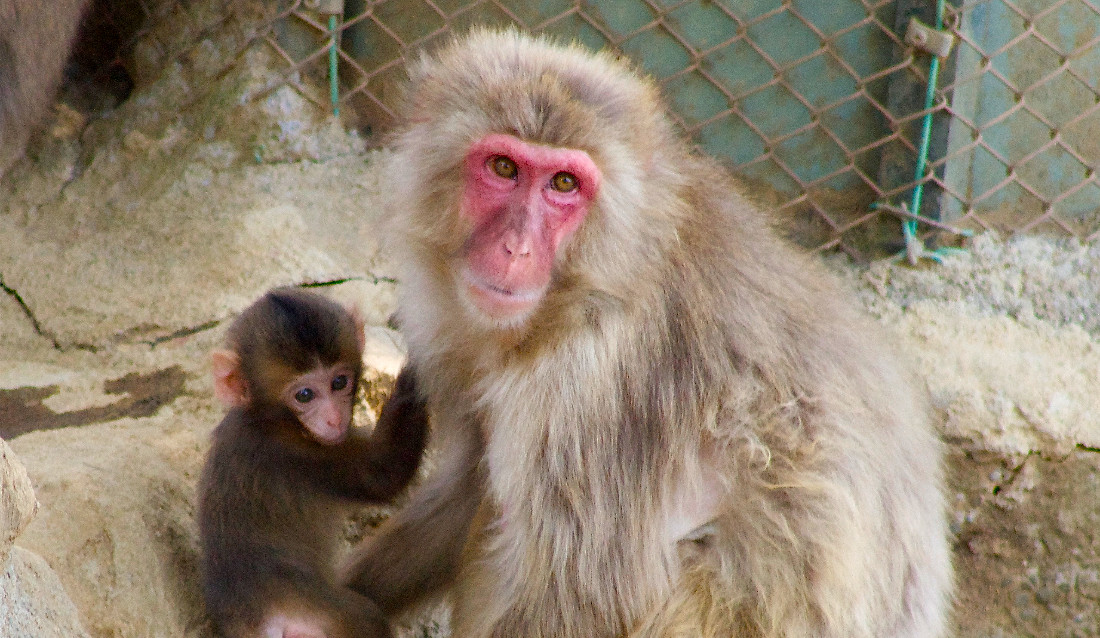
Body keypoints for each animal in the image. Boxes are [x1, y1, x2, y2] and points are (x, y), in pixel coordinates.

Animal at [198, 288, 430, 638]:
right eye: (304, 395)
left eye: (339, 383)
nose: (334, 419)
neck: (263, 418)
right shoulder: (296, 453)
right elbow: (384, 471)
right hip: (320, 617)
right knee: (366, 618)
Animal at [339, 29, 952, 638]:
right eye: (504, 168)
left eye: (564, 183)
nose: (517, 247)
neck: (595, 285)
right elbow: (467, 491)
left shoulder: (591, 391)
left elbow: (585, 593)